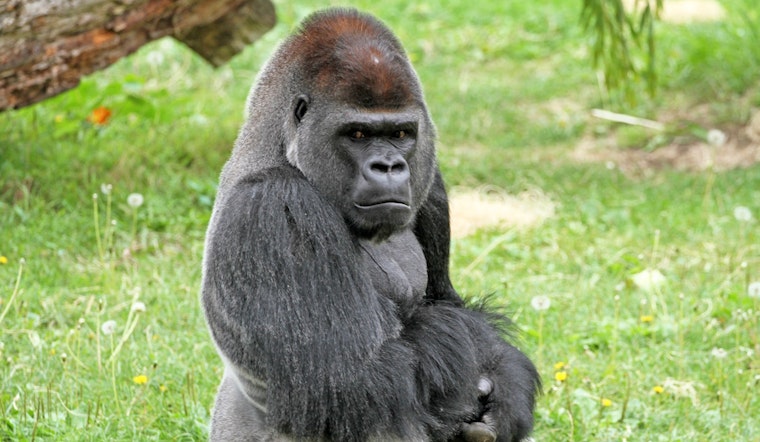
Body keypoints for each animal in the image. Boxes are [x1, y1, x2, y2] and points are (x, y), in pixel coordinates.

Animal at [201, 8, 539, 442]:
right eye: (358, 133)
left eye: (400, 133)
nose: (389, 166)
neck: (278, 147)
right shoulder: (272, 207)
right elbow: (343, 381)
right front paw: (461, 330)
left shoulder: (430, 186)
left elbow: (447, 301)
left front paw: (507, 391)